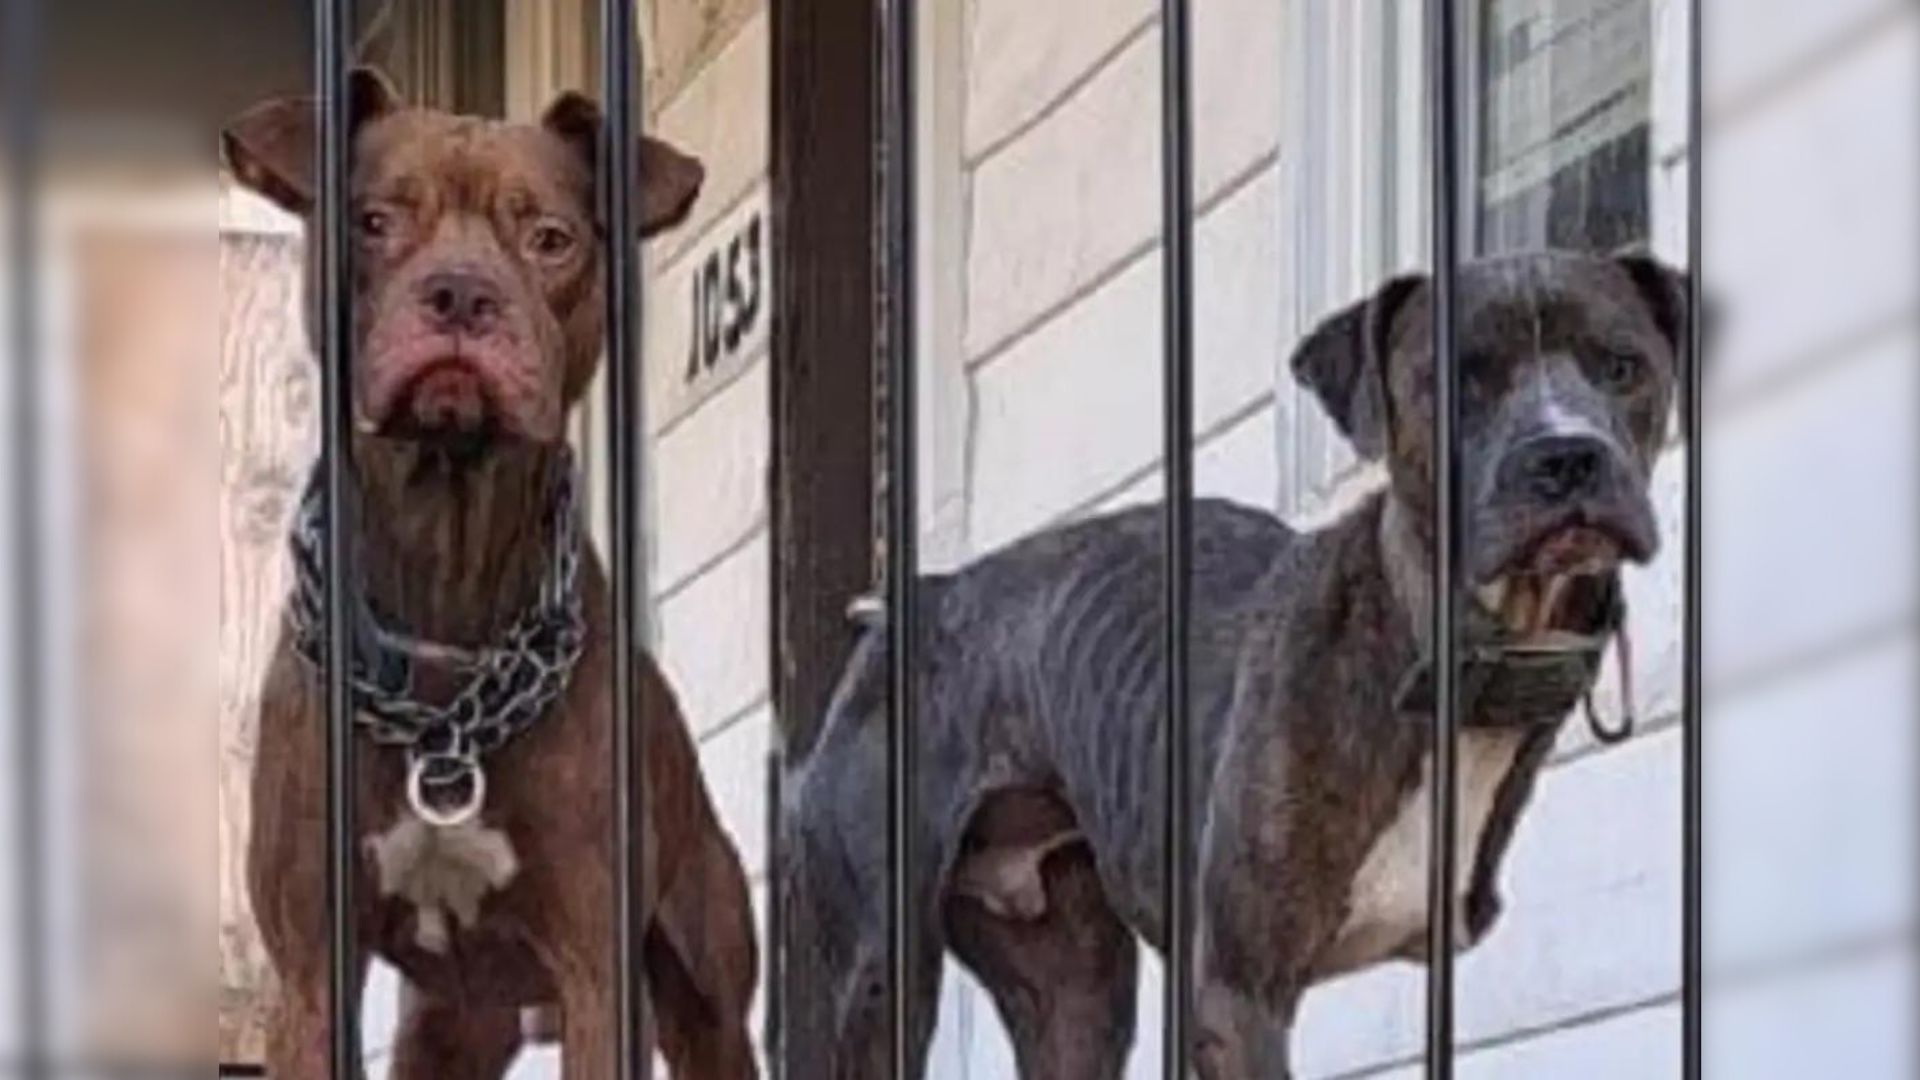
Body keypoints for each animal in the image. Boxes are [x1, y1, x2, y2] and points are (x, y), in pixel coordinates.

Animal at [226, 71, 756, 1068]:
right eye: (373, 220)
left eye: (550, 238)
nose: (462, 293)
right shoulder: (310, 973)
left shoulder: (596, 973)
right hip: (447, 1027)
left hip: (704, 996)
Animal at [779, 247, 1697, 1068]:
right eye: (1458, 380)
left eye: (1622, 367)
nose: (1568, 454)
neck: (1430, 641)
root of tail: (899, 609)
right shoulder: (1236, 991)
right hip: (881, 974)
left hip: (1072, 990)